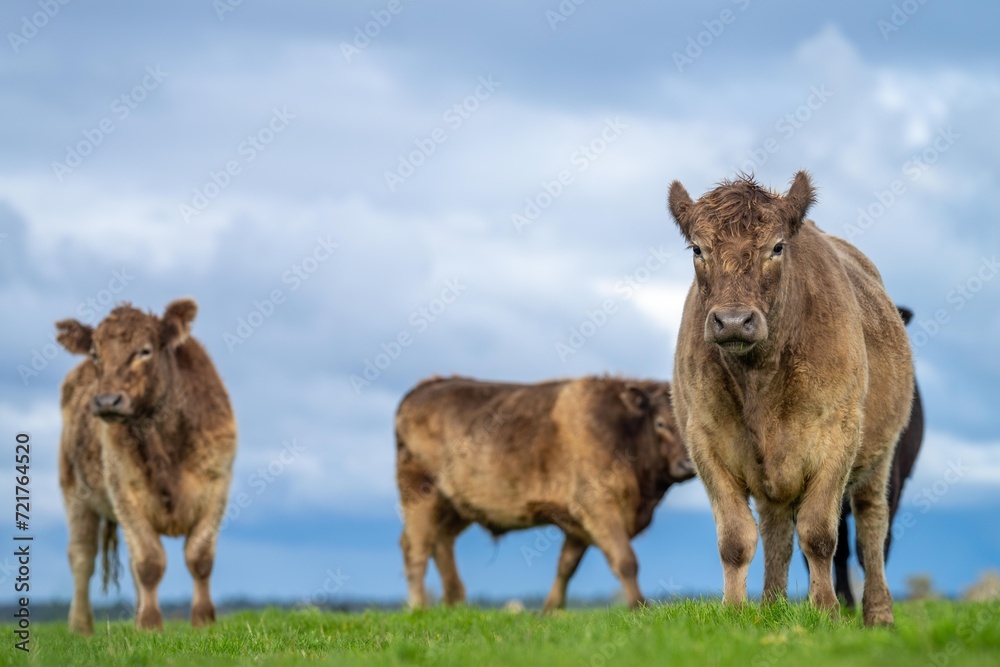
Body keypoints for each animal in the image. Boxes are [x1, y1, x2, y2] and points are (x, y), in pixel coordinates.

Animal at [55, 299, 237, 634]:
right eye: (95, 353)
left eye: (145, 351)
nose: (107, 401)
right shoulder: (124, 492)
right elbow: (150, 562)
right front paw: (151, 623)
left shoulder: (217, 486)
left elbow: (200, 558)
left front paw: (203, 619)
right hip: (75, 494)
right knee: (82, 557)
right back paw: (80, 627)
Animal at [395, 375, 695, 611]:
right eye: (660, 423)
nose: (687, 465)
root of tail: (423, 387)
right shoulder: (598, 504)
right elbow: (625, 560)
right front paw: (638, 606)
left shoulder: (579, 522)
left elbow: (566, 566)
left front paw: (551, 609)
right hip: (420, 492)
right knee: (416, 548)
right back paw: (419, 607)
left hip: (456, 506)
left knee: (441, 542)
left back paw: (454, 603)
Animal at [667, 172, 914, 627]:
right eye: (697, 249)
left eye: (777, 246)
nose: (733, 321)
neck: (759, 379)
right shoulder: (705, 440)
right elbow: (736, 538)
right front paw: (734, 612)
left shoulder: (839, 435)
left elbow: (819, 533)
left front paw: (827, 611)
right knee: (776, 528)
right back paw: (770, 604)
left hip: (880, 458)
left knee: (872, 525)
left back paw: (878, 614)